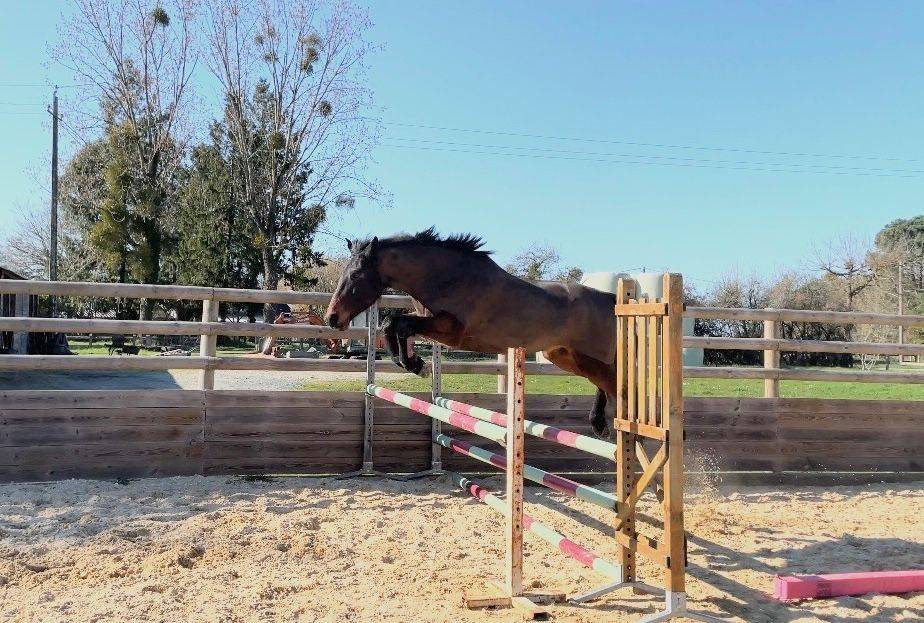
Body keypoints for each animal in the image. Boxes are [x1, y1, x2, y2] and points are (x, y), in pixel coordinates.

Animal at [324, 228, 617, 438]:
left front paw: (417, 365)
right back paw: (598, 425)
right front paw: (414, 363)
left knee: (613, 385)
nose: (332, 318)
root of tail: (610, 299)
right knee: (602, 383)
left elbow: (400, 324)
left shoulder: (451, 330)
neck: (445, 277)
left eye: (357, 275)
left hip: (589, 358)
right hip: (564, 356)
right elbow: (391, 325)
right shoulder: (429, 325)